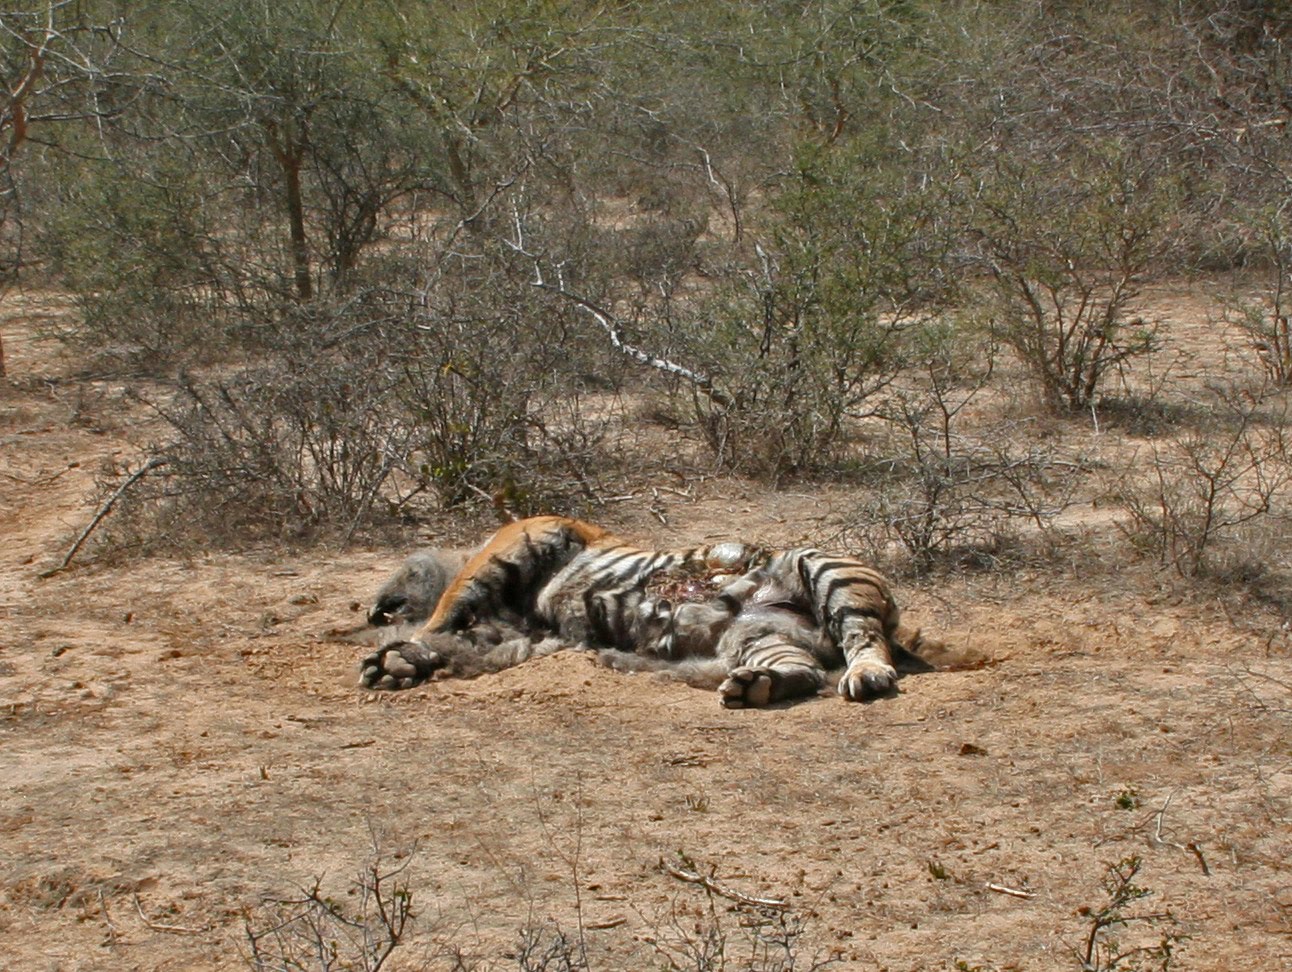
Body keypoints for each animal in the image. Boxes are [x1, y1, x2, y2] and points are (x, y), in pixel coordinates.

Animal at [359, 517, 935, 708]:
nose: (375, 608)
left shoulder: (527, 535)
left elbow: (444, 614)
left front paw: (398, 651)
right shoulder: (516, 635)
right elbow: (451, 637)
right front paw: (399, 663)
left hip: (824, 567)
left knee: (863, 639)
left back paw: (867, 677)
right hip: (758, 635)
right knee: (806, 670)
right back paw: (755, 688)